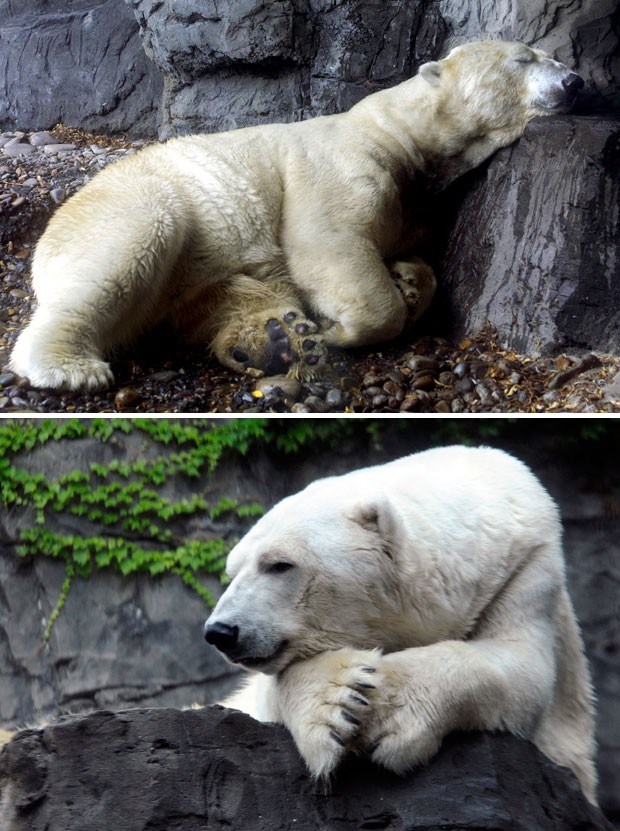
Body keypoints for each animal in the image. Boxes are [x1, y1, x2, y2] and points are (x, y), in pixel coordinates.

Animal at [8, 39, 580, 390]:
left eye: (547, 56)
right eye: (524, 58)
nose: (575, 81)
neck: (403, 136)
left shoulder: (415, 201)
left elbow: (412, 252)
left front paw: (409, 283)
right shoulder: (340, 160)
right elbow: (328, 238)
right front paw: (343, 329)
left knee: (221, 296)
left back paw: (273, 338)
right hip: (134, 202)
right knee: (126, 252)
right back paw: (68, 366)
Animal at [206, 448, 600, 808]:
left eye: (279, 564)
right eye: (232, 571)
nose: (221, 631)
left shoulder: (524, 570)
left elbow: (523, 670)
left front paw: (388, 708)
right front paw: (341, 702)